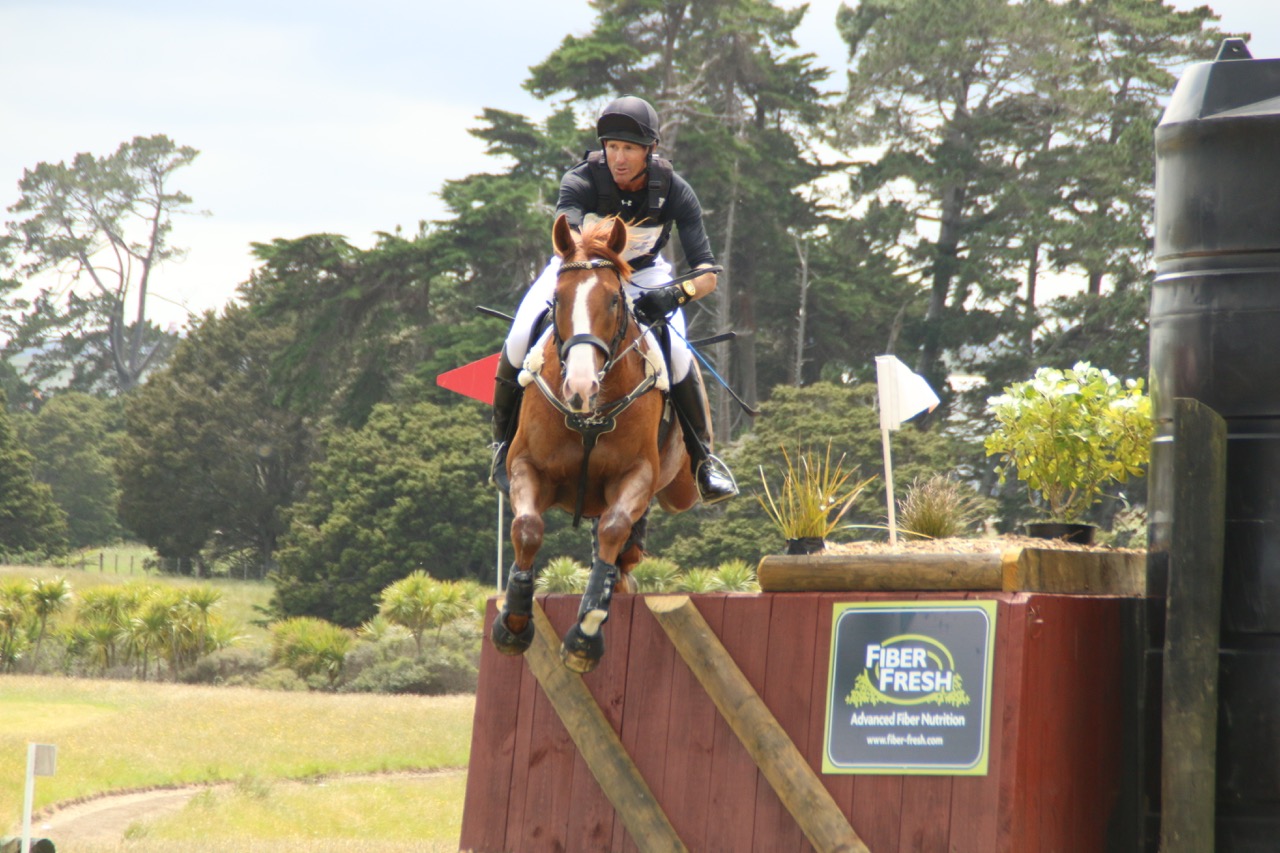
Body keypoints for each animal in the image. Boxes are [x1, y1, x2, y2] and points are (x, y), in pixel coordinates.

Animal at [486, 211, 701, 671]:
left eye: (615, 301)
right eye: (557, 300)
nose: (580, 388)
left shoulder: (637, 473)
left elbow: (613, 528)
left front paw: (586, 633)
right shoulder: (526, 466)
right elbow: (527, 528)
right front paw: (513, 623)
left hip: (679, 488)